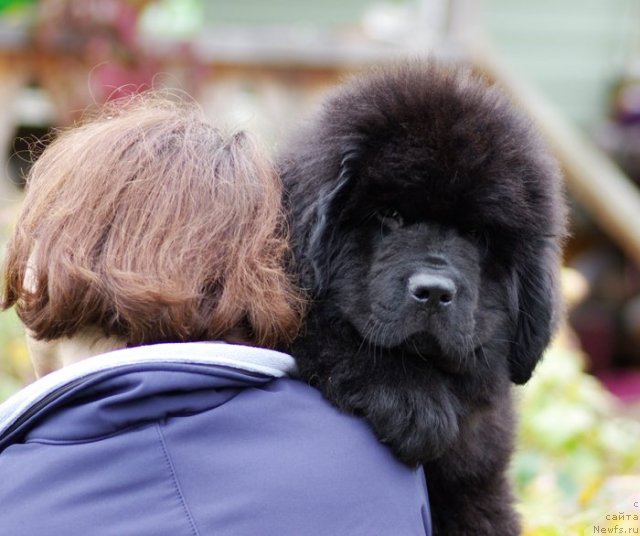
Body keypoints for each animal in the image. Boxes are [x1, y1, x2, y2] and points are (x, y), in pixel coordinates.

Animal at [280, 60, 564, 532]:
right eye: (391, 215)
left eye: (476, 234)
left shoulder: (478, 485)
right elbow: (324, 333)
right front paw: (411, 399)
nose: (433, 292)